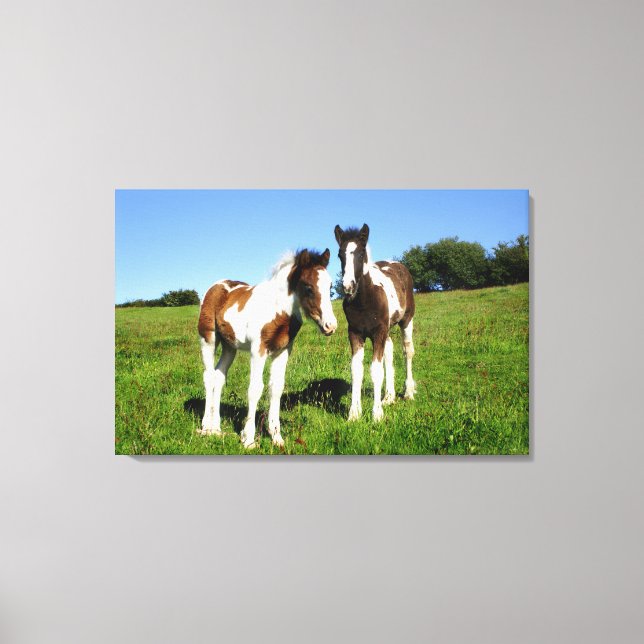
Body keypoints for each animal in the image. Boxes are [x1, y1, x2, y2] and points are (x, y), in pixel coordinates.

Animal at [197, 248, 338, 448]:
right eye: (308, 287)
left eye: (330, 286)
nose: (330, 326)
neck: (277, 309)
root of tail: (216, 285)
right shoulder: (258, 349)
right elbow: (255, 388)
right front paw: (248, 438)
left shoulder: (283, 350)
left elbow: (276, 387)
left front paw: (277, 437)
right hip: (208, 338)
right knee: (208, 377)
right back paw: (206, 427)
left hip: (229, 346)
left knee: (219, 376)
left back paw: (216, 428)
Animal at [334, 224, 416, 422]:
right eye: (339, 254)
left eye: (361, 253)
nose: (348, 286)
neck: (364, 300)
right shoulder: (355, 333)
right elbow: (356, 370)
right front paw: (354, 413)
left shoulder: (378, 332)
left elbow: (376, 370)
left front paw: (377, 414)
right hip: (386, 330)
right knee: (389, 351)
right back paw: (389, 397)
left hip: (406, 320)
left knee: (407, 350)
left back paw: (408, 392)